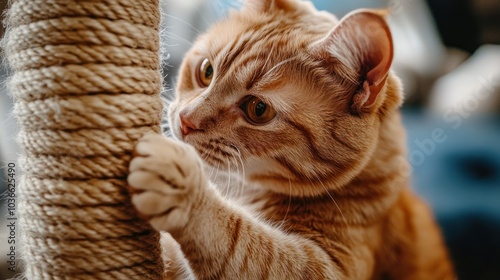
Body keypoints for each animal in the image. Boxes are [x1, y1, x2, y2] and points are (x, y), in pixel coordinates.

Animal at [127, 1, 456, 278]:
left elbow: (247, 245)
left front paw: (183, 187)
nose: (186, 120)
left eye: (258, 109)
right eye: (206, 71)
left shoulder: (330, 266)